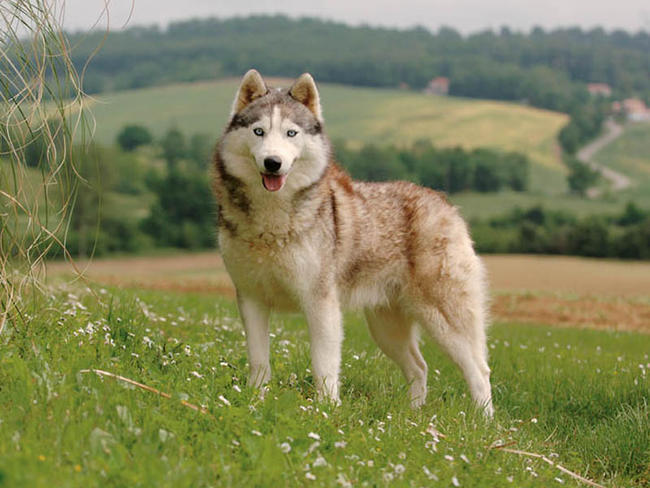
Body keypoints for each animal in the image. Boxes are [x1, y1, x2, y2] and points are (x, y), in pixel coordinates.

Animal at [211, 69, 492, 416]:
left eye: (291, 133)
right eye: (259, 131)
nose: (272, 162)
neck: (271, 219)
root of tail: (444, 203)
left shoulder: (321, 304)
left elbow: (324, 366)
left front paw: (326, 411)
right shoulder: (251, 299)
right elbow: (259, 362)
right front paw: (255, 402)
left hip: (444, 319)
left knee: (479, 370)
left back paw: (484, 423)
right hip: (386, 328)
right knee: (420, 367)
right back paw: (412, 415)